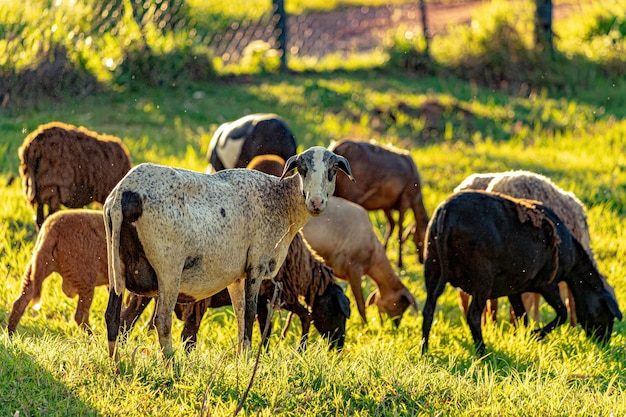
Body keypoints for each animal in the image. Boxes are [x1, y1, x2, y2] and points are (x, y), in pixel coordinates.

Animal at [105, 146, 354, 358]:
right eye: (302, 169)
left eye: (332, 170)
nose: (316, 203)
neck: (281, 202)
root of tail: (124, 193)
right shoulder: (257, 261)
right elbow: (251, 313)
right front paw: (249, 360)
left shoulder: (236, 275)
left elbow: (241, 315)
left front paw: (242, 359)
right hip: (168, 267)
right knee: (162, 321)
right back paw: (173, 367)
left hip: (117, 263)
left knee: (112, 317)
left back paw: (117, 367)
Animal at [326, 136, 428, 266]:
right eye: (425, 238)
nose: (422, 260)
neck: (417, 198)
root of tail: (335, 149)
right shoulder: (405, 198)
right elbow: (400, 231)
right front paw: (399, 262)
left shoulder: (386, 204)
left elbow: (392, 225)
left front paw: (384, 250)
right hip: (350, 192)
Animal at [420, 190, 620, 352]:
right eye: (609, 315)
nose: (603, 344)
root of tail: (446, 213)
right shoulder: (547, 283)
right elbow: (562, 313)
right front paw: (536, 334)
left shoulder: (514, 288)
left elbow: (522, 316)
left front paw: (525, 339)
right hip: (482, 278)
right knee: (473, 316)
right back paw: (482, 353)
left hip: (432, 266)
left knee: (428, 310)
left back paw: (424, 350)